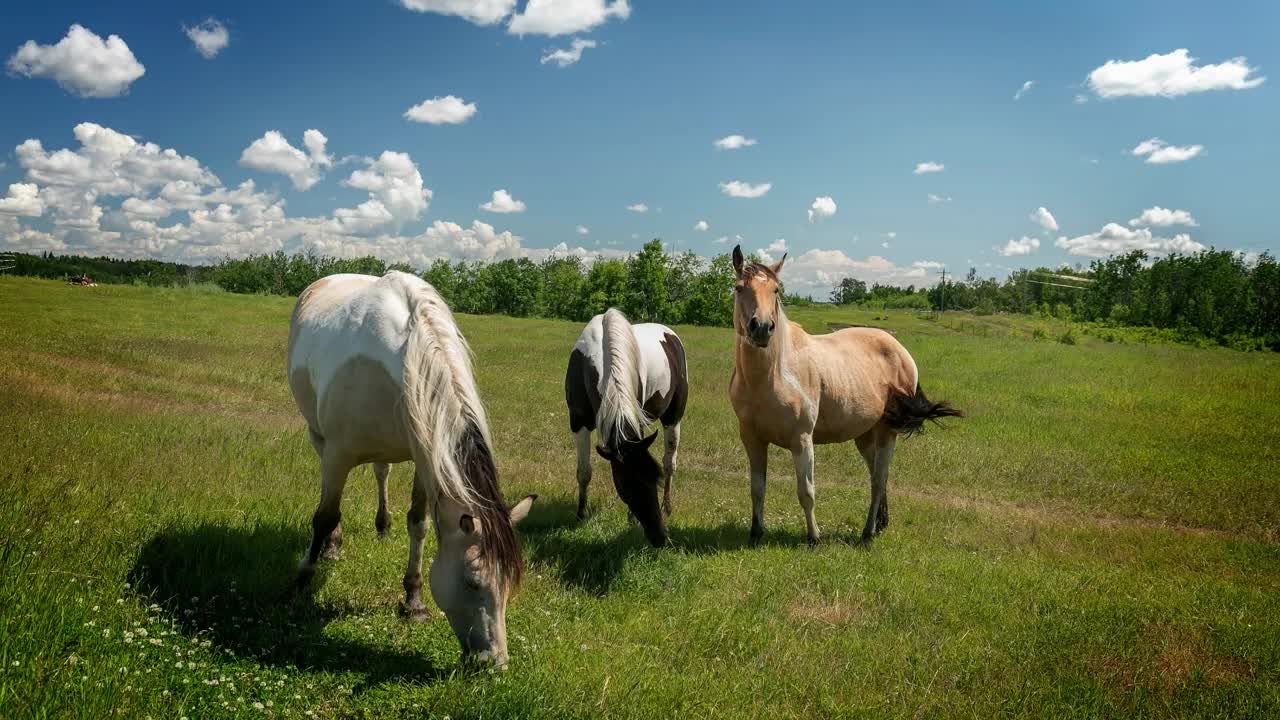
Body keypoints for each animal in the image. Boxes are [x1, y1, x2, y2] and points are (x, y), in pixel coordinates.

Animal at [289, 271, 535, 666]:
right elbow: (324, 516)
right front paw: (302, 580)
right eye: (473, 582)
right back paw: (332, 546)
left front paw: (414, 601)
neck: (405, 358)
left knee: (381, 472)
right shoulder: (338, 454)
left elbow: (419, 525)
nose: (494, 663)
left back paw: (382, 526)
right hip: (318, 436)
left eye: (509, 584)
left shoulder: (426, 455)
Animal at [568, 304, 691, 545]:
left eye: (654, 480)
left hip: (673, 418)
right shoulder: (578, 422)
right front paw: (580, 515)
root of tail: (669, 333)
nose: (659, 537)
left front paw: (631, 519)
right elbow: (584, 471)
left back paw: (667, 507)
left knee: (669, 463)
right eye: (626, 486)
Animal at [732, 245, 962, 543]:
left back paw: (868, 532)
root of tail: (902, 352)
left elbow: (806, 492)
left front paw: (814, 538)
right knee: (879, 476)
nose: (761, 327)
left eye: (775, 290)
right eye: (739, 288)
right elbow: (757, 488)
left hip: (887, 433)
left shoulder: (802, 440)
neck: (772, 376)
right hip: (865, 436)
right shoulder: (753, 440)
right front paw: (756, 533)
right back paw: (881, 523)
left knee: (878, 480)